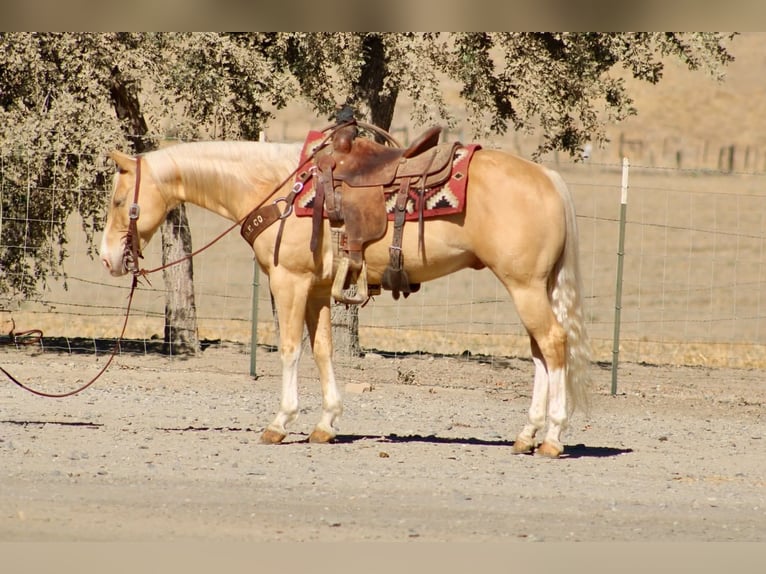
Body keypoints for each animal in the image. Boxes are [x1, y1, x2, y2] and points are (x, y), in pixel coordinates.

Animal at [99, 135, 591, 458]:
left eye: (120, 201)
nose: (108, 259)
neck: (280, 189)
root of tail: (548, 177)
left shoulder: (289, 282)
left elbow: (290, 349)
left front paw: (280, 423)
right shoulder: (317, 289)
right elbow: (322, 351)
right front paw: (326, 423)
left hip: (525, 287)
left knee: (552, 344)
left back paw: (552, 438)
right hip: (533, 287)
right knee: (540, 352)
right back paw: (527, 435)